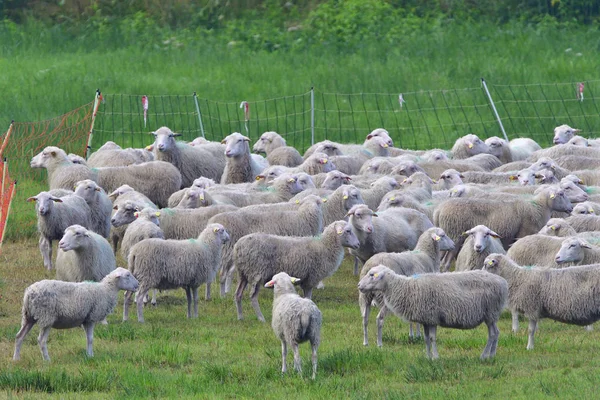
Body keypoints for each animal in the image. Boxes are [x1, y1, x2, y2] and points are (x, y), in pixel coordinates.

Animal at [358, 266, 508, 360]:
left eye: (372, 275)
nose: (359, 286)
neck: (405, 289)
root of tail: (503, 282)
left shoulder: (432, 318)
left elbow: (432, 338)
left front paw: (435, 357)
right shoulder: (425, 320)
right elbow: (426, 339)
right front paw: (428, 357)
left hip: (490, 312)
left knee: (493, 334)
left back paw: (484, 356)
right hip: (491, 315)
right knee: (496, 333)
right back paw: (491, 355)